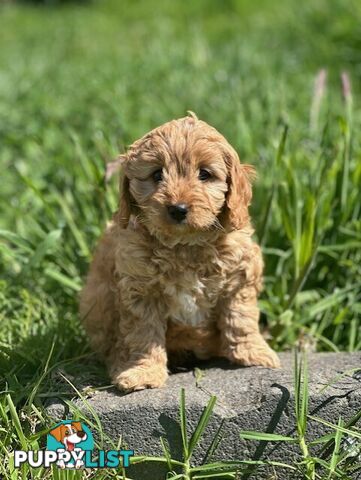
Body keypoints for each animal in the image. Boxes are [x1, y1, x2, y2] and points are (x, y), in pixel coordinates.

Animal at [80, 114, 280, 392]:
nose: (178, 209)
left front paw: (254, 353)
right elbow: (143, 335)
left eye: (204, 174)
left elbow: (241, 318)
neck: (185, 245)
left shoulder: (239, 278)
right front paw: (143, 372)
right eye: (157, 174)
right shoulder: (140, 290)